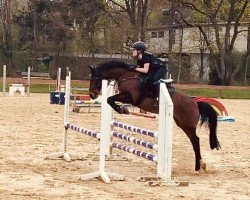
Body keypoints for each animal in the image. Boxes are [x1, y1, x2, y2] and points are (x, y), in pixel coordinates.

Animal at [88, 59, 221, 172]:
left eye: (95, 77)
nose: (92, 95)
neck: (125, 76)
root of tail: (195, 102)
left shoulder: (131, 97)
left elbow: (110, 99)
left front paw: (122, 109)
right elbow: (109, 99)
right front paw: (122, 109)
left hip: (188, 124)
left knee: (196, 140)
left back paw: (198, 167)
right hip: (182, 124)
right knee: (194, 140)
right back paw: (201, 164)